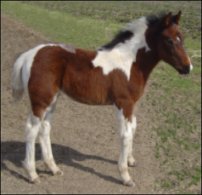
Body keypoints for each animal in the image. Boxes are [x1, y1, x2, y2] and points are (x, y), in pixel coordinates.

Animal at [12, 11, 193, 187]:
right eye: (169, 40)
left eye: (182, 38)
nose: (188, 67)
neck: (130, 63)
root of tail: (29, 54)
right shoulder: (124, 103)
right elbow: (125, 135)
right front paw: (126, 176)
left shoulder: (132, 105)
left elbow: (133, 128)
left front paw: (130, 160)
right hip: (41, 101)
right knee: (31, 130)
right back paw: (32, 174)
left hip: (52, 100)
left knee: (45, 129)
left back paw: (53, 168)